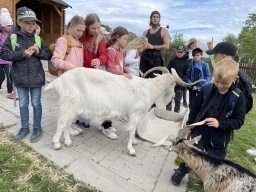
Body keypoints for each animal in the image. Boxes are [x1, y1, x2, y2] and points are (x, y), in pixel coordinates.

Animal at [43, 67, 200, 155]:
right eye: (174, 85)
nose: (172, 97)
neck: (148, 89)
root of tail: (59, 80)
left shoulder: (134, 115)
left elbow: (135, 130)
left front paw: (135, 143)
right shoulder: (135, 114)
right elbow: (131, 131)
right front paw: (131, 150)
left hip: (74, 107)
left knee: (67, 123)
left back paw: (68, 142)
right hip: (70, 102)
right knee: (62, 122)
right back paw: (57, 144)